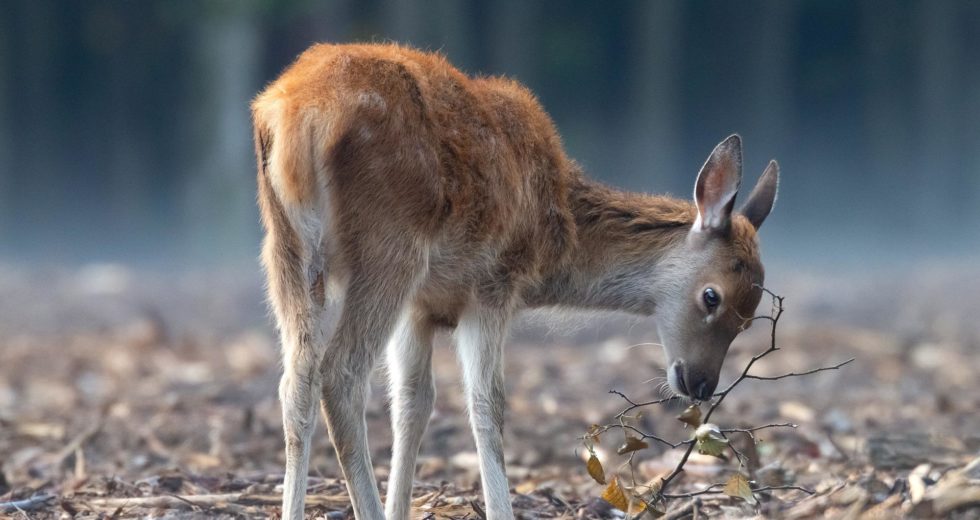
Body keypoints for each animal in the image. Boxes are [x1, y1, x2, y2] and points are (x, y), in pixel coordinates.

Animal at [252, 43, 779, 520]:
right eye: (711, 296)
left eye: (749, 318)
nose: (701, 383)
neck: (555, 237)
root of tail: (297, 116)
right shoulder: (493, 284)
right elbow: (487, 406)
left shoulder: (420, 306)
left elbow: (413, 403)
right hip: (389, 248)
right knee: (341, 375)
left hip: (285, 250)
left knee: (295, 382)